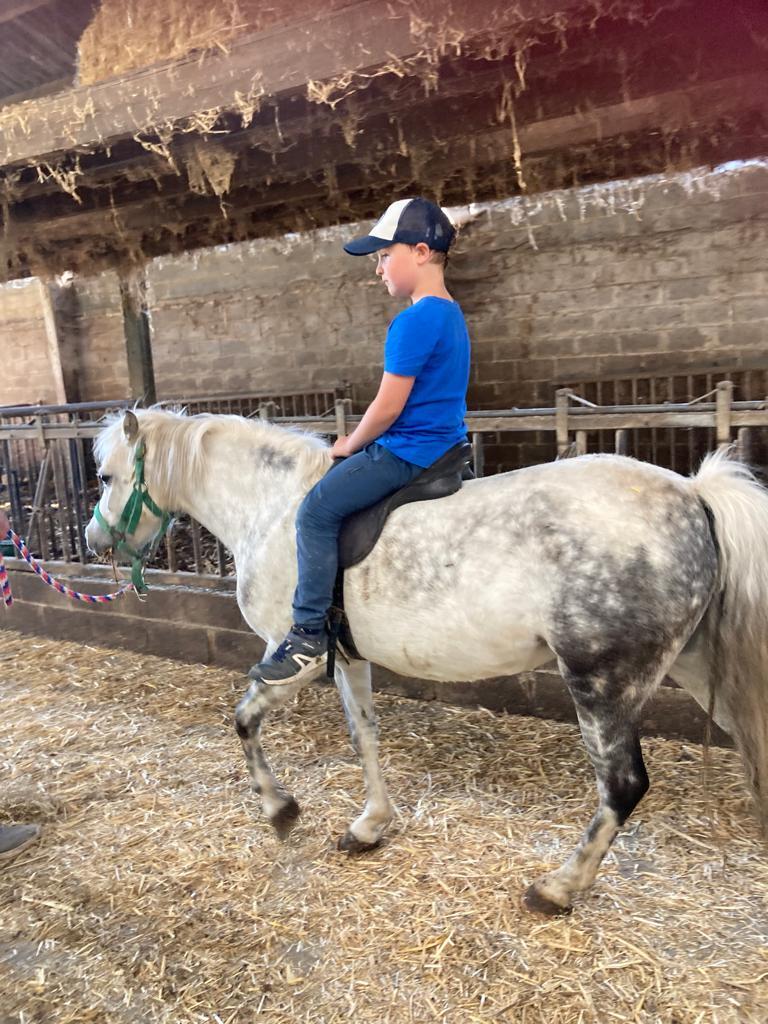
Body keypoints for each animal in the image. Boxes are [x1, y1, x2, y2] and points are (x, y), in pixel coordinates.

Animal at [85, 408, 768, 916]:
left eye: (106, 476)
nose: (94, 540)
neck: (274, 508)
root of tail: (692, 494)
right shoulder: (348, 660)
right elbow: (364, 736)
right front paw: (369, 827)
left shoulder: (294, 656)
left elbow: (245, 719)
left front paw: (280, 810)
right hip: (694, 666)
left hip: (603, 683)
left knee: (622, 787)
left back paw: (558, 887)